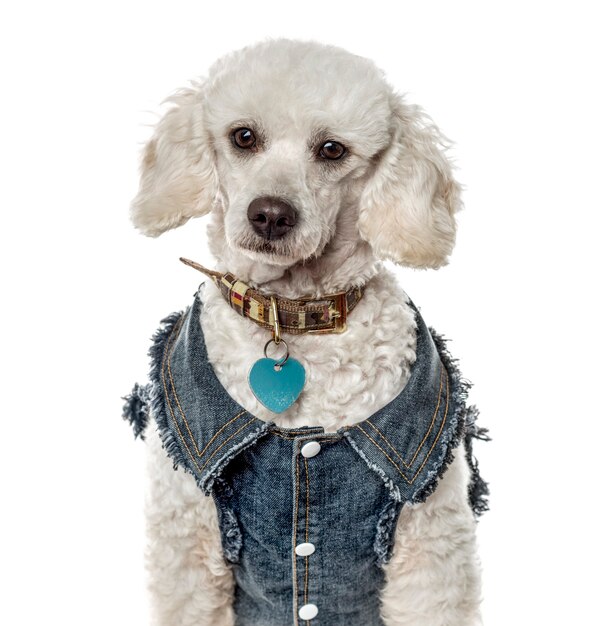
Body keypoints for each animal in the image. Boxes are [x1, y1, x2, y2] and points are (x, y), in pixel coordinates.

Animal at [124, 39, 490, 624]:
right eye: (243, 137)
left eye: (332, 150)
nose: (271, 215)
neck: (292, 318)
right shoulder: (187, 539)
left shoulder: (431, 544)